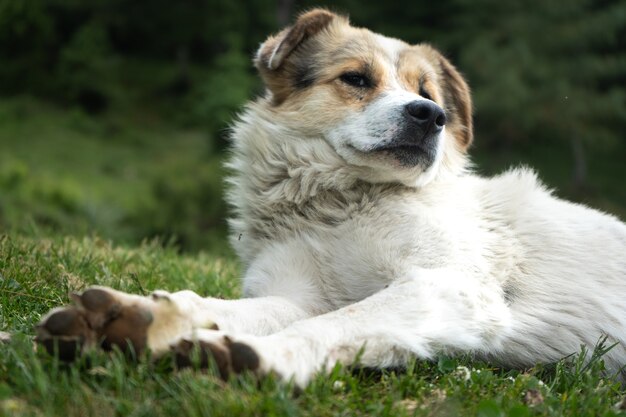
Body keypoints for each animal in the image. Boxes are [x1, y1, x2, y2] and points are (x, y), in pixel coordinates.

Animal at [37, 10, 624, 386]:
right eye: (357, 79)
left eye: (428, 93)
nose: (430, 116)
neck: (338, 208)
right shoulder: (298, 293)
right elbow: (222, 307)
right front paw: (141, 316)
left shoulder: (449, 287)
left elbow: (329, 326)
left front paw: (263, 357)